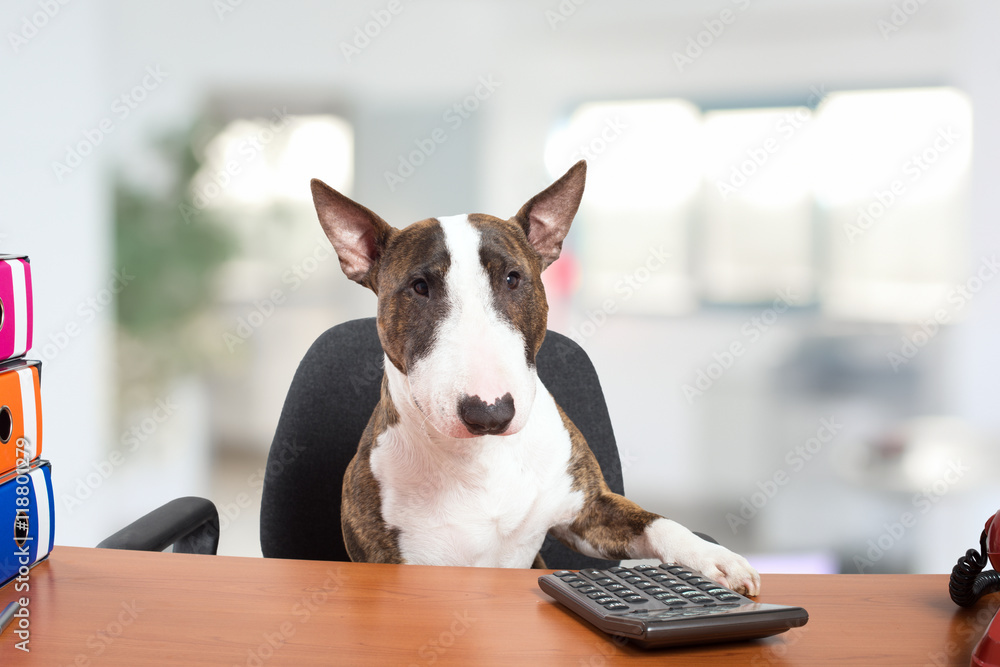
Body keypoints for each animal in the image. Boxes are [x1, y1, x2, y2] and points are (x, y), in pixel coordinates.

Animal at [308, 160, 760, 596]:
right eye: (419, 287)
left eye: (512, 278)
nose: (489, 413)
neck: (480, 459)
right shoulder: (388, 556)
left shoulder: (589, 510)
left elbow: (656, 522)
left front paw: (715, 559)